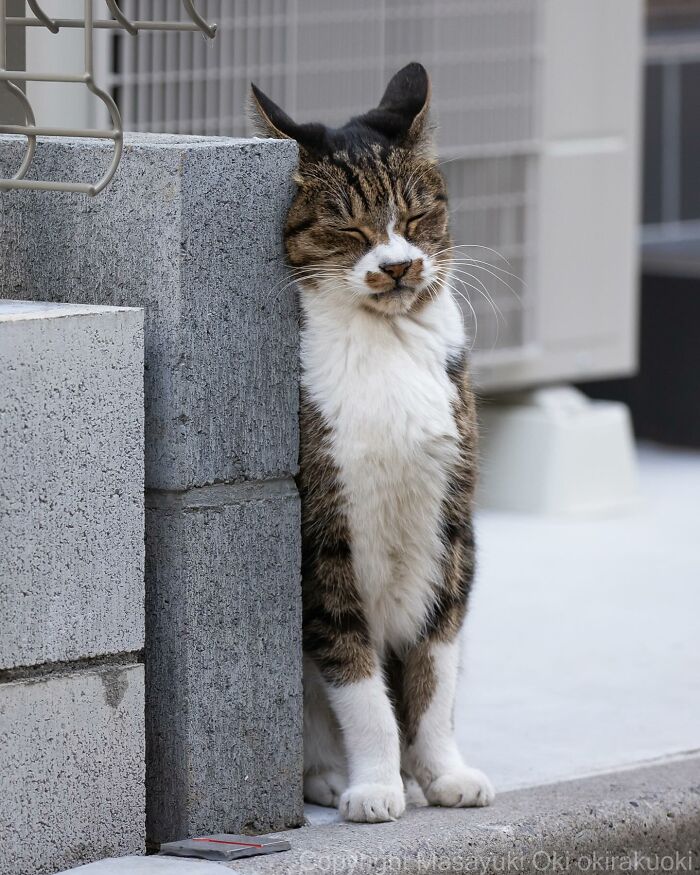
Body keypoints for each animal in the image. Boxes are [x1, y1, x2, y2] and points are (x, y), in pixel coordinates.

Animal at [252, 65, 492, 824]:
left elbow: (434, 674)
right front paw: (376, 786)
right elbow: (360, 687)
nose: (398, 266)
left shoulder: (450, 531)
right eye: (349, 226)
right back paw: (333, 778)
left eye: (414, 219)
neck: (386, 346)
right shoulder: (322, 541)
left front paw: (443, 773)